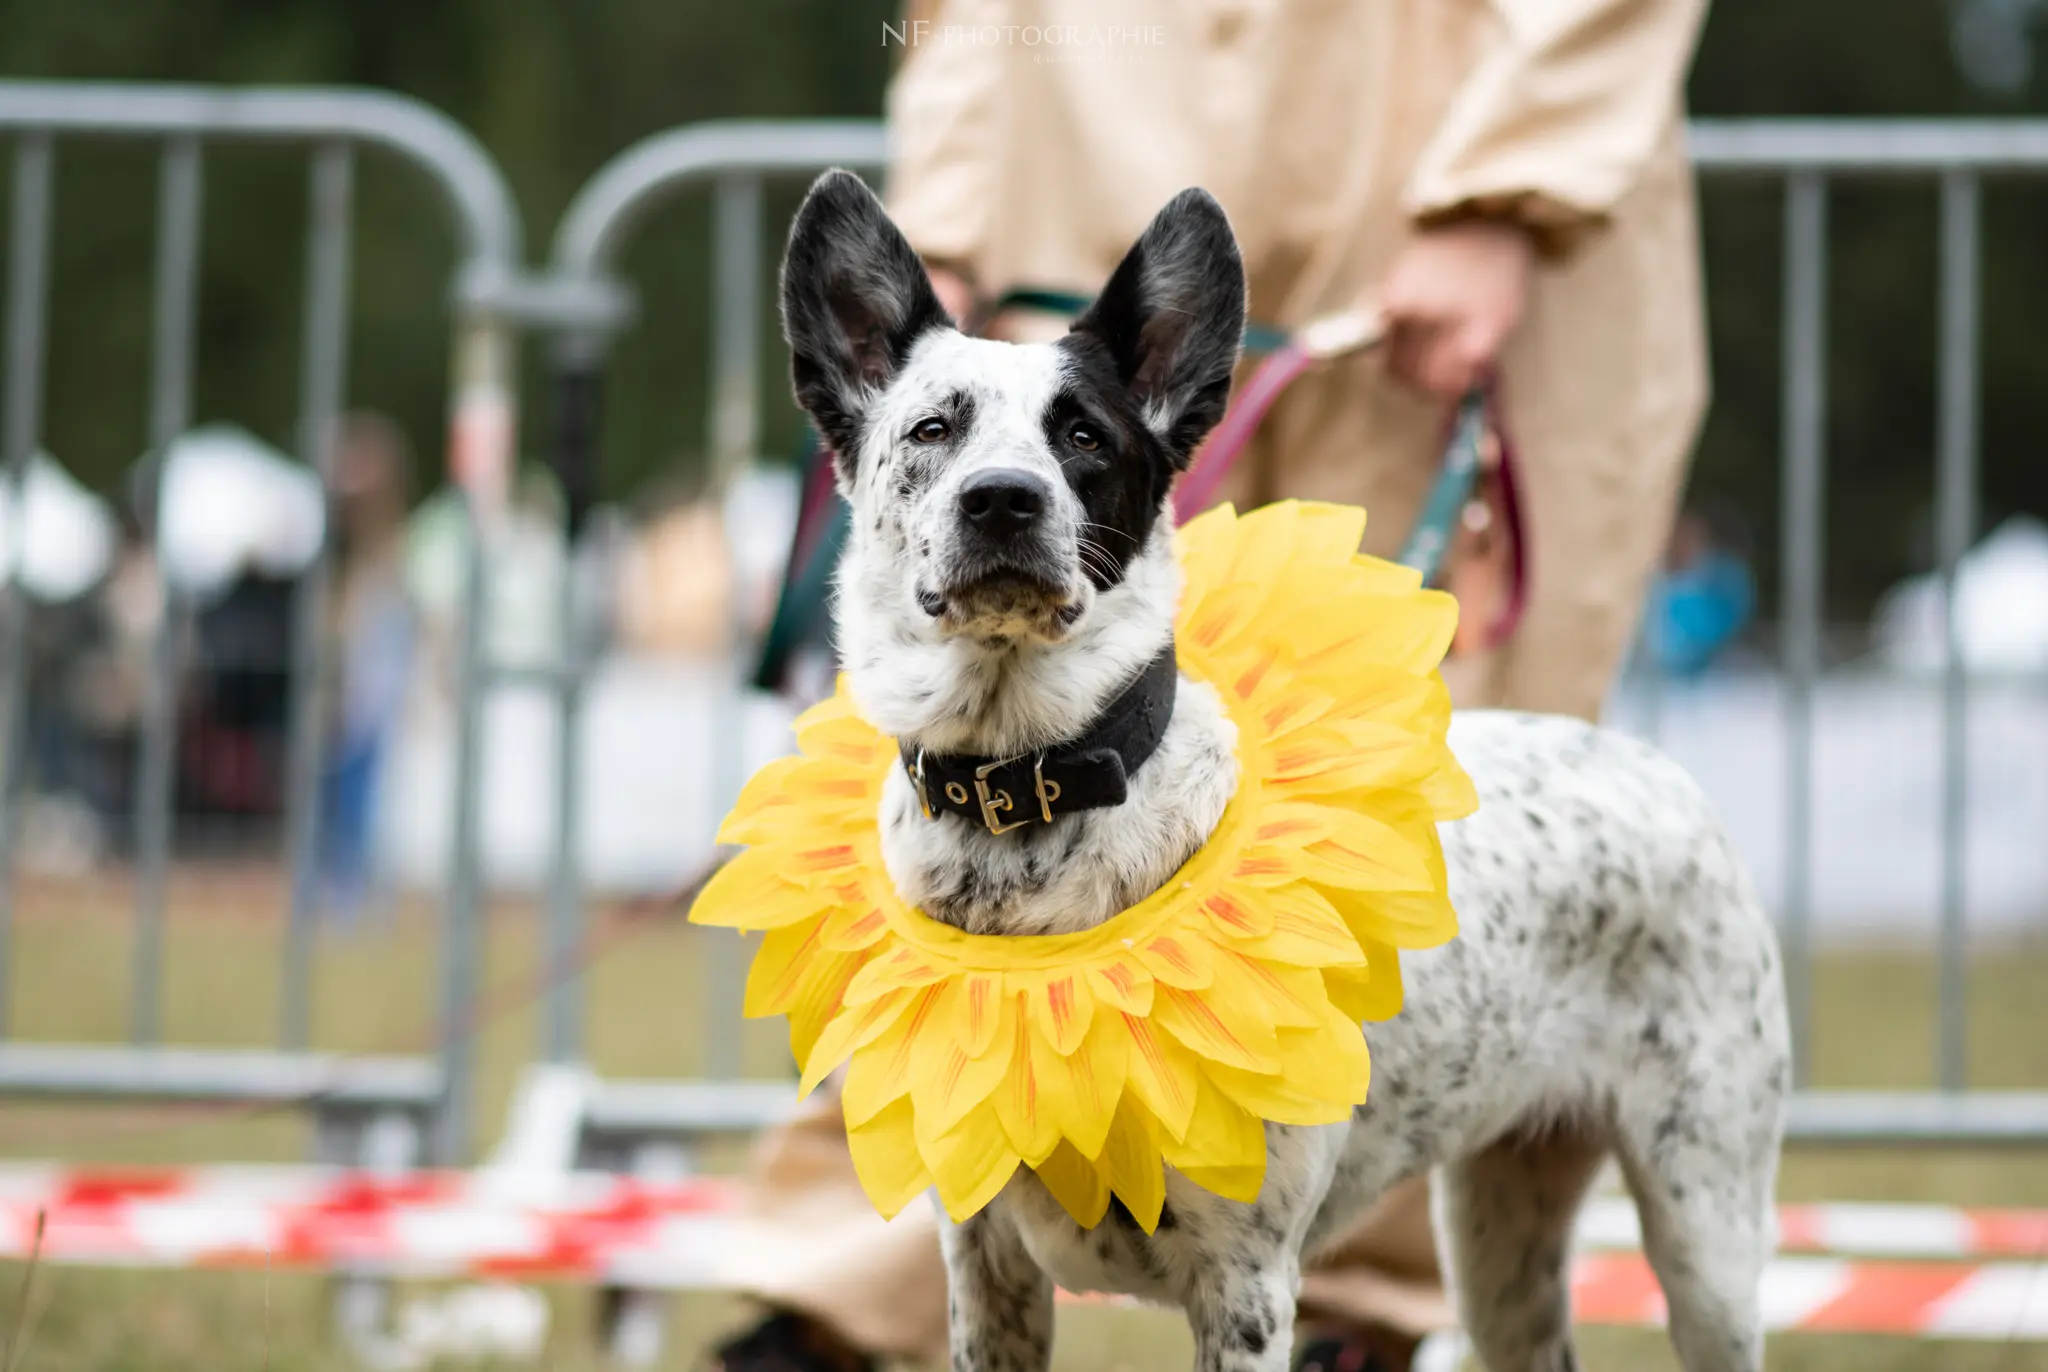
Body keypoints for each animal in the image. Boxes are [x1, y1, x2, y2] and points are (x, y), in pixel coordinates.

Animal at [782, 168, 1794, 1372]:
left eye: (1081, 435)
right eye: (932, 427)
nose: (1002, 499)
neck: (1026, 799)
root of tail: (1650, 765)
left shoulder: (1245, 1281)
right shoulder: (983, 1265)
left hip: (1703, 1227)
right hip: (1502, 1233)